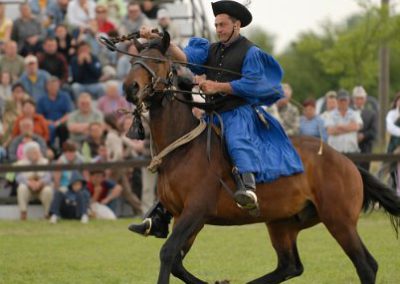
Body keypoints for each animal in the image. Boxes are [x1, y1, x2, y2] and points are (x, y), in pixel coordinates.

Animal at [122, 32, 400, 282]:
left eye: (158, 60)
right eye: (134, 60)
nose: (129, 87)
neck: (183, 149)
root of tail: (348, 163)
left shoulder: (196, 212)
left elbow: (168, 254)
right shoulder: (184, 217)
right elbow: (177, 264)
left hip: (339, 222)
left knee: (366, 265)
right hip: (283, 223)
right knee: (289, 266)